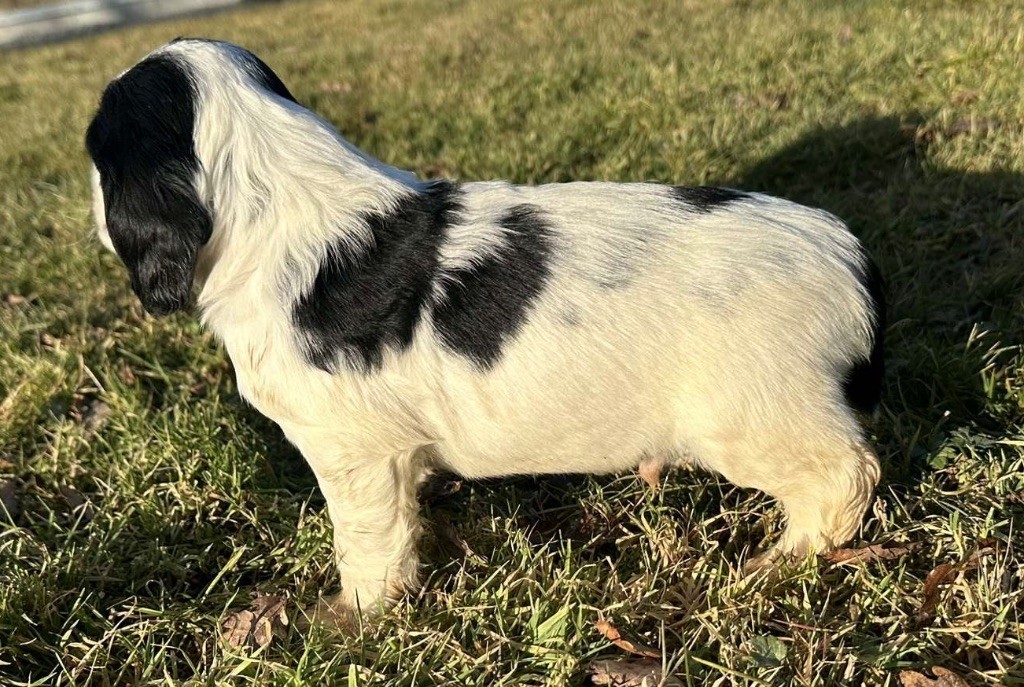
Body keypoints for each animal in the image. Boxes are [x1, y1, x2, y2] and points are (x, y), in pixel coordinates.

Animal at [86, 38, 880, 630]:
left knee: (846, 476)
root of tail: (846, 253)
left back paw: (776, 564)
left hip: (753, 417)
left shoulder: (350, 451)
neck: (286, 199)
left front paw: (354, 617)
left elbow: (366, 540)